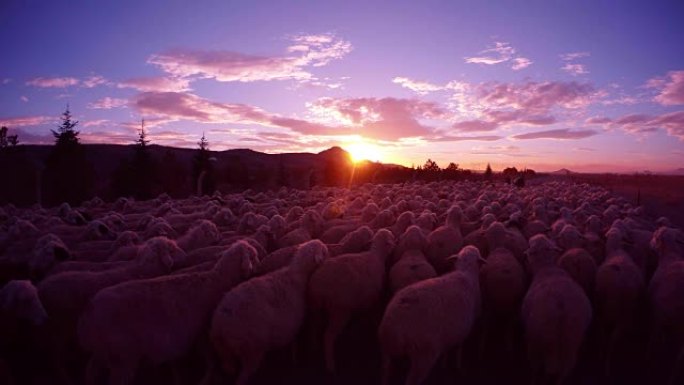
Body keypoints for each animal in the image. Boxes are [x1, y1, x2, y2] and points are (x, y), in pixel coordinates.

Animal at [207, 238, 328, 382]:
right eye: (323, 250)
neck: (297, 275)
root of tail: (220, 325)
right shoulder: (292, 324)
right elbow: (293, 343)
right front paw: (294, 358)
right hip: (252, 347)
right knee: (244, 375)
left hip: (224, 352)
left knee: (229, 367)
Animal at [376, 246, 484, 384]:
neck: (466, 272)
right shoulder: (465, 329)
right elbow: (459, 349)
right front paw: (459, 366)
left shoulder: (452, 332)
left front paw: (444, 363)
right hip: (423, 354)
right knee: (411, 380)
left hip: (387, 351)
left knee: (385, 372)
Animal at [520, 234, 592, 384]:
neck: (547, 267)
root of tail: (561, 309)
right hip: (573, 343)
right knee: (564, 372)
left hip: (537, 343)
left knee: (539, 369)